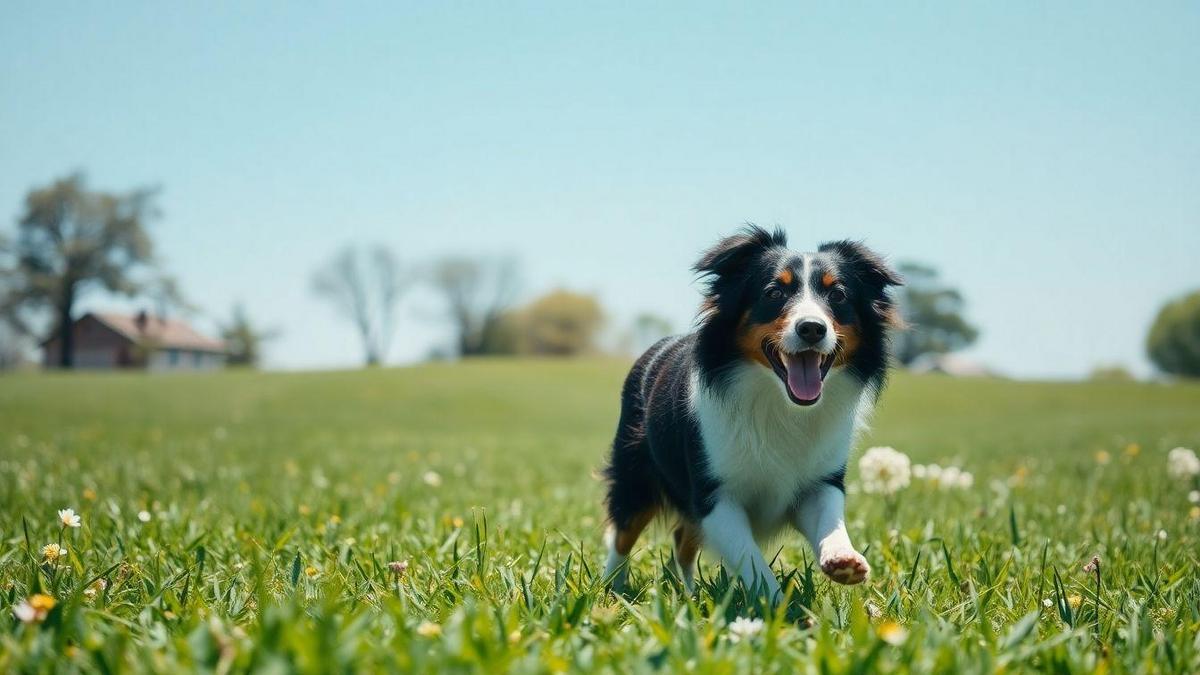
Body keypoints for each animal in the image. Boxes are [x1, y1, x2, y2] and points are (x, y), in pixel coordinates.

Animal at [600, 225, 902, 598]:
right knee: (623, 532)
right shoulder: (714, 494)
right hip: (635, 472)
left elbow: (830, 516)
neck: (780, 403)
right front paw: (776, 602)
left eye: (838, 295)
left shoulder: (820, 480)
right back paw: (612, 588)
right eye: (773, 292)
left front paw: (843, 559)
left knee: (682, 541)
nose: (812, 328)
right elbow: (751, 559)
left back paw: (688, 593)